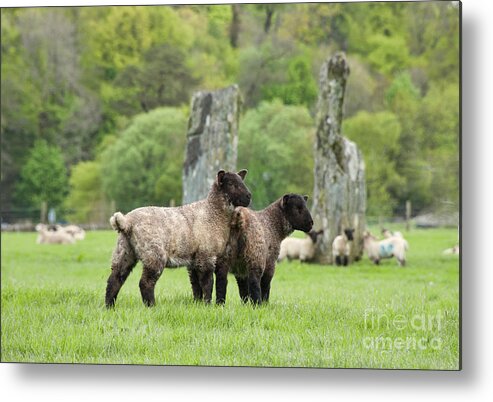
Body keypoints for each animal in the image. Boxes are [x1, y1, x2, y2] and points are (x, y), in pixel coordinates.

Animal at [104, 170, 250, 308]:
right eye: (230, 184)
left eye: (241, 181)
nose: (249, 196)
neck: (213, 213)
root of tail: (126, 222)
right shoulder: (206, 255)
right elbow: (207, 283)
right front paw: (207, 304)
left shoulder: (195, 261)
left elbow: (196, 285)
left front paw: (198, 304)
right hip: (153, 253)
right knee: (145, 283)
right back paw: (151, 306)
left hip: (124, 251)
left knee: (114, 280)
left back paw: (109, 306)